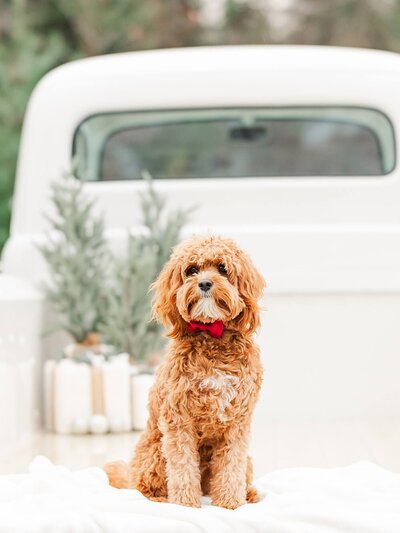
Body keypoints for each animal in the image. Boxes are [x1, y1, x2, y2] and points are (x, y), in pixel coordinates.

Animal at [105, 234, 266, 508]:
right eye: (191, 270)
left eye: (222, 268)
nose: (204, 283)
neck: (212, 336)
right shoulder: (178, 418)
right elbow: (182, 466)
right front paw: (185, 505)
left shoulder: (237, 420)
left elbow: (231, 465)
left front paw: (231, 504)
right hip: (154, 453)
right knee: (142, 486)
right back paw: (160, 498)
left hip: (247, 462)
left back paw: (249, 494)